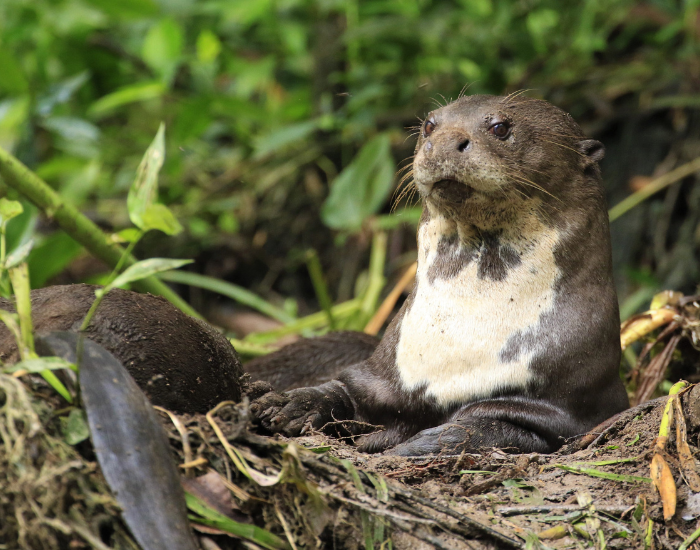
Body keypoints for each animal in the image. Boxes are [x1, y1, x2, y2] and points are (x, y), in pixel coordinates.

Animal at [250, 94, 629, 456]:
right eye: (430, 125)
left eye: (500, 127)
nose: (445, 141)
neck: (459, 333)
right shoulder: (378, 376)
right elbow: (336, 390)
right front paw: (288, 403)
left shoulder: (561, 411)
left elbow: (485, 427)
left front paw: (415, 445)